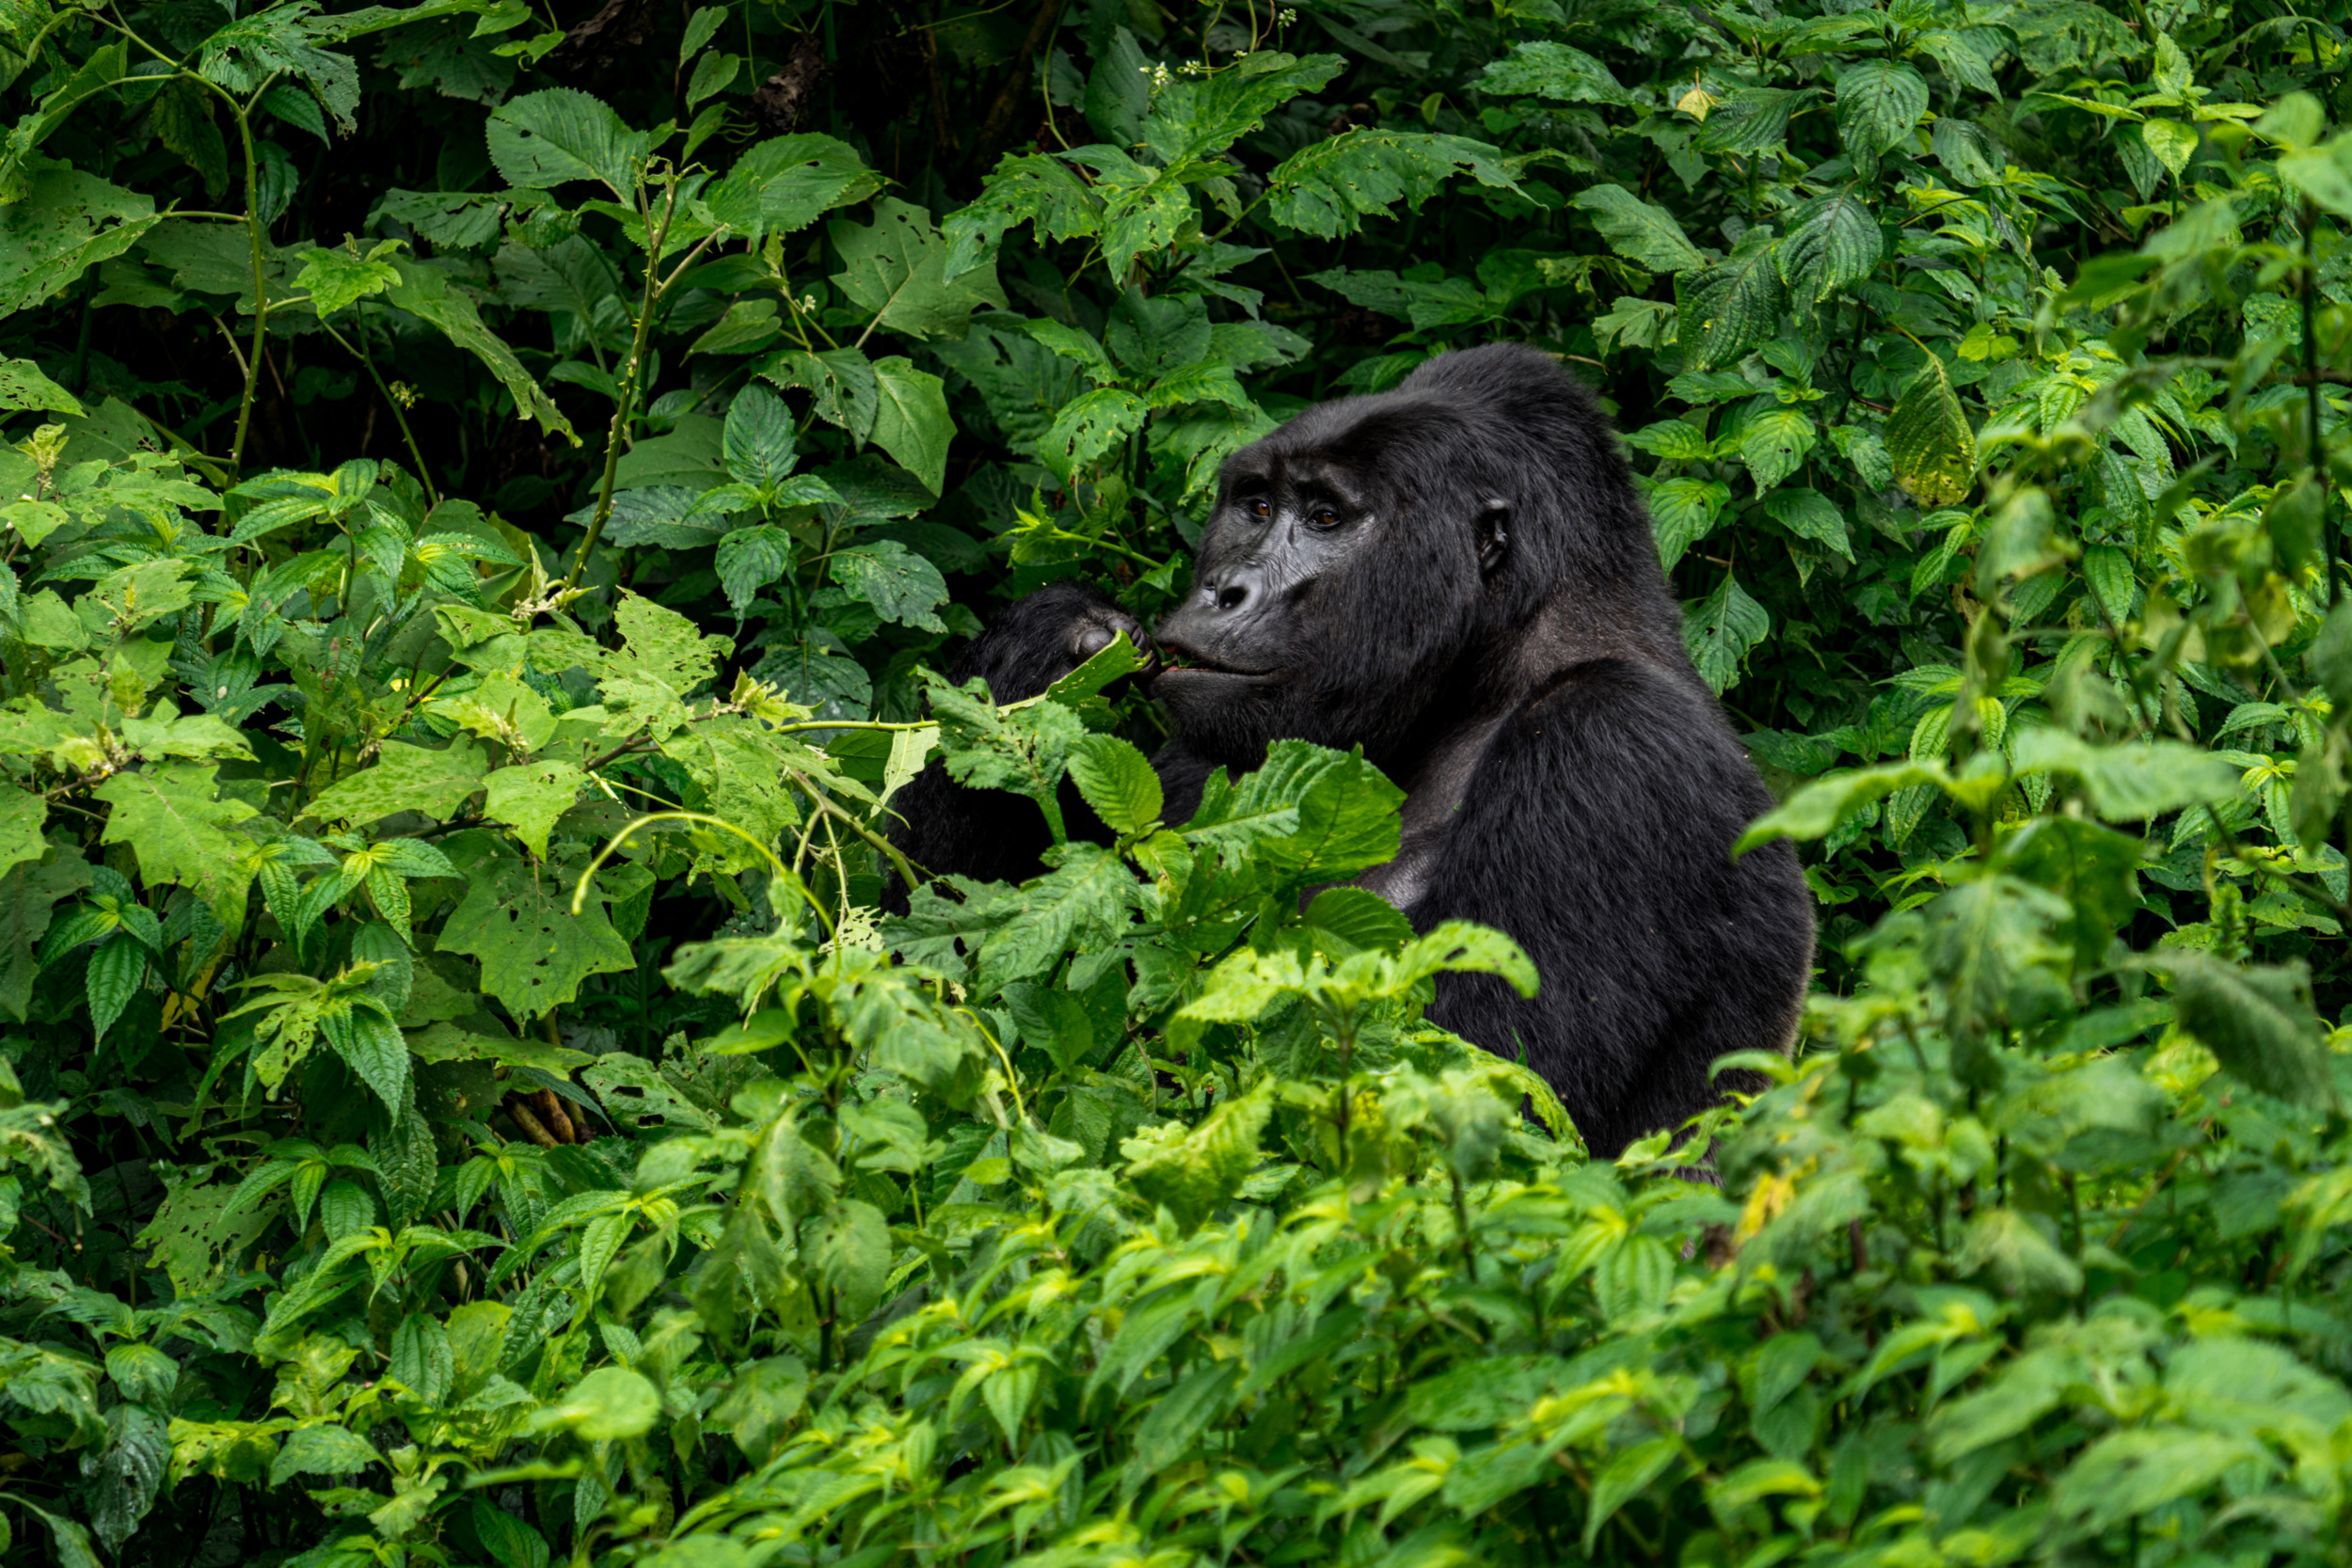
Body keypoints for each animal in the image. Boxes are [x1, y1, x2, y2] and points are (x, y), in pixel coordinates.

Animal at [889, 341, 1806, 1151]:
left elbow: (1466, 1098)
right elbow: (936, 954)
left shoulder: (1609, 751)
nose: (1223, 590)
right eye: (1257, 506)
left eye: (1326, 517)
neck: (1489, 669)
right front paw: (1061, 639)